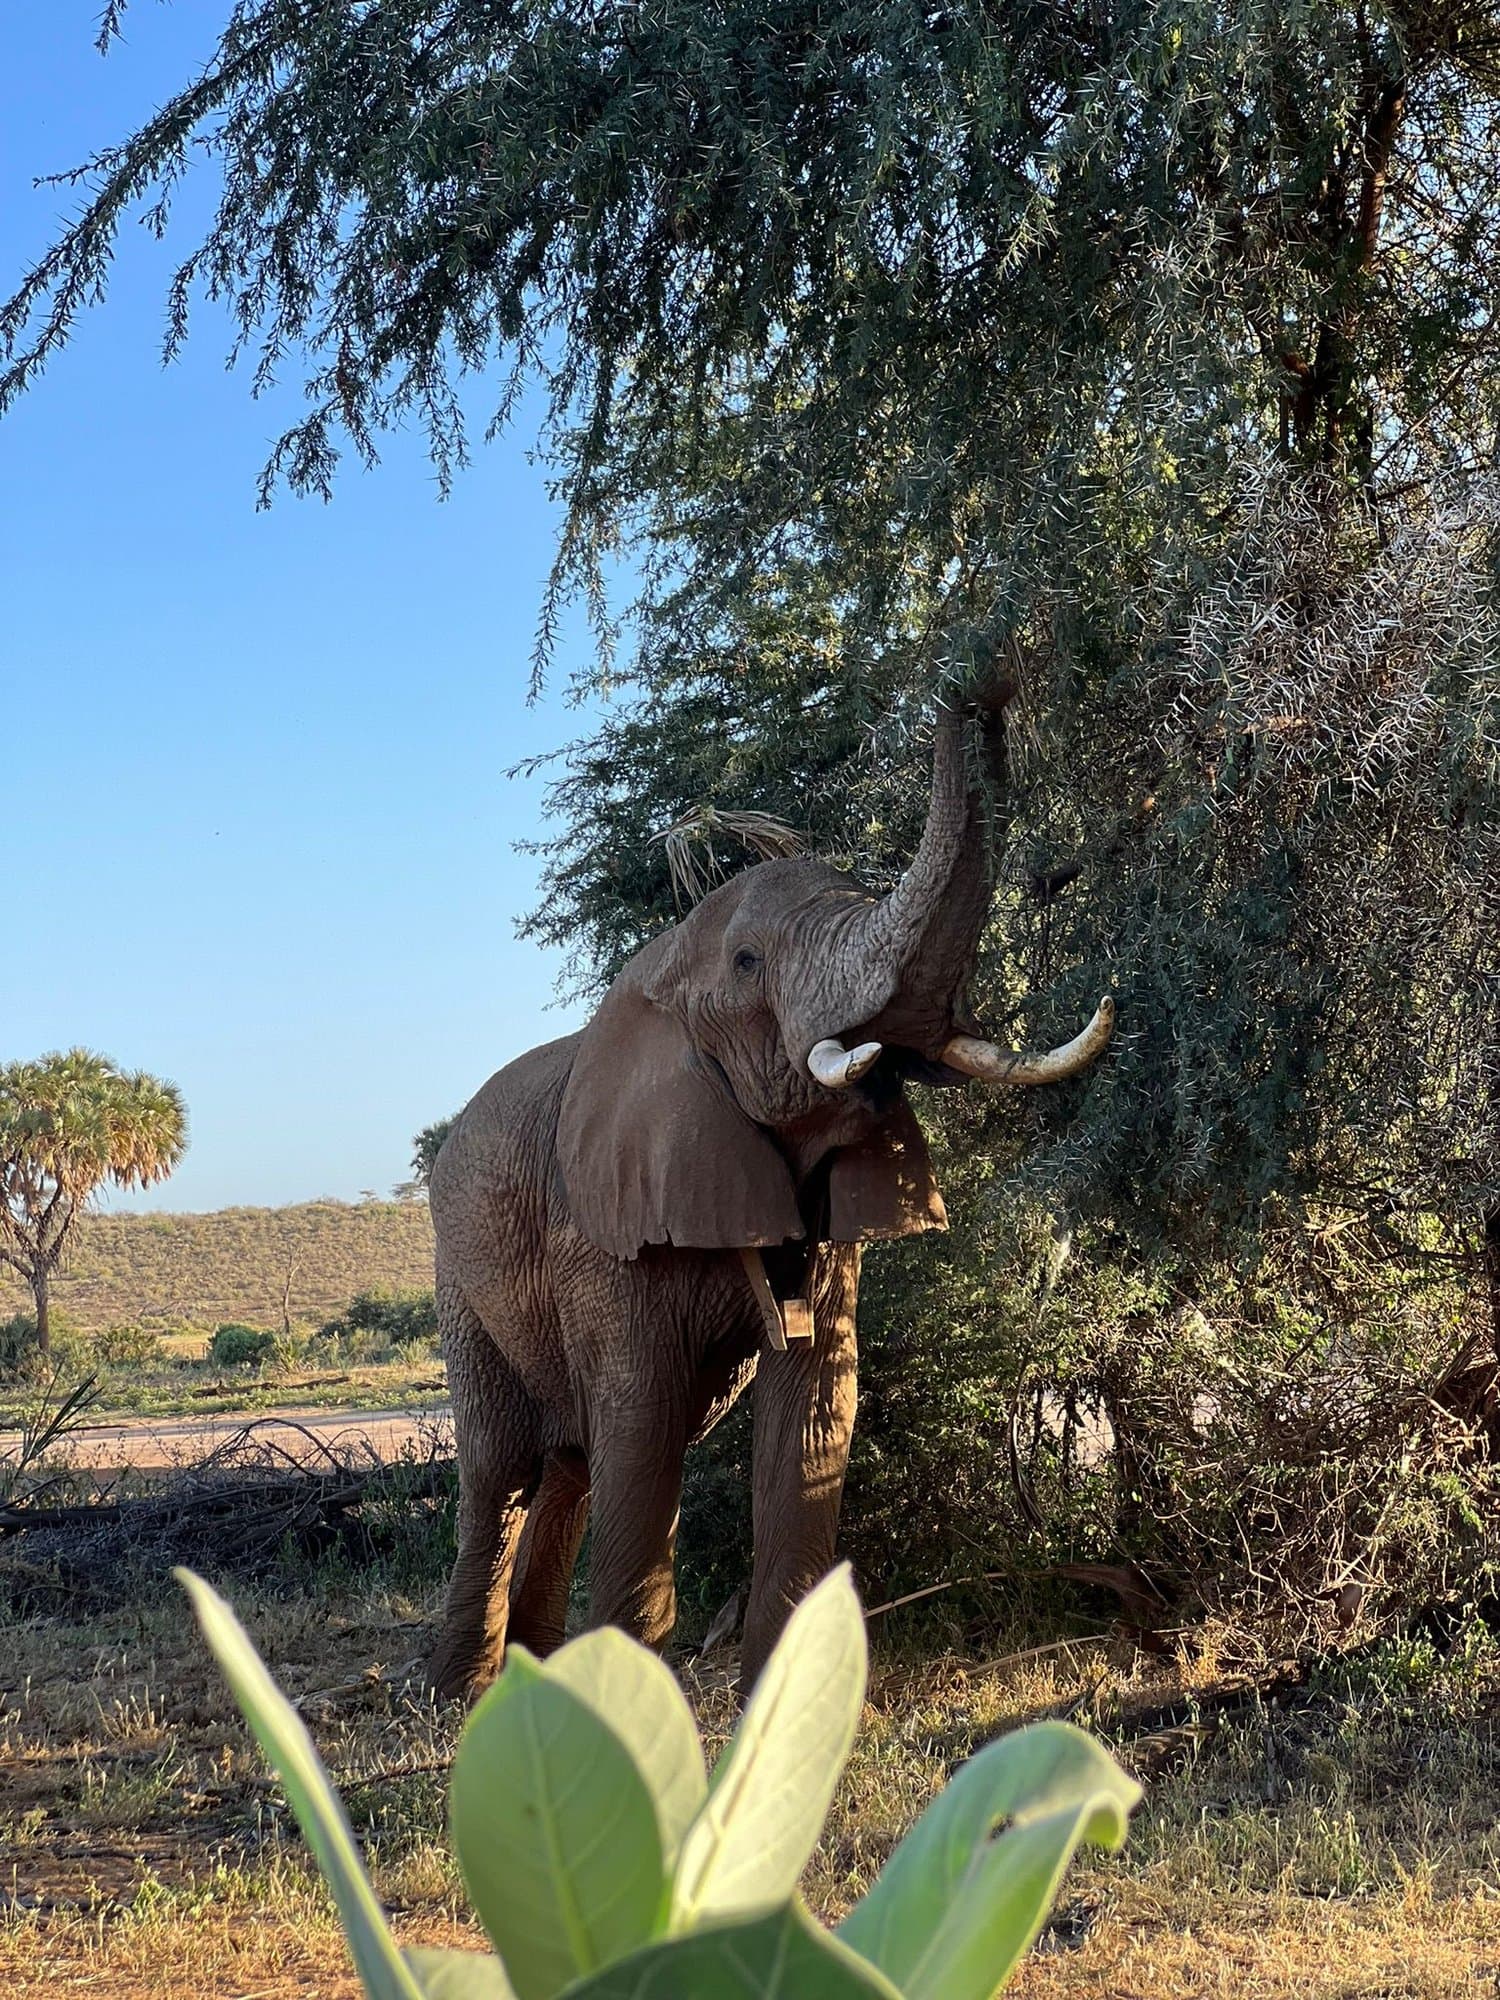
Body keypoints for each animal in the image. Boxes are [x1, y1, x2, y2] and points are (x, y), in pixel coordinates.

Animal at [426, 688, 1113, 1699]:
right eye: (750, 962)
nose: (976, 676)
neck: (663, 966)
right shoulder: (603, 1227)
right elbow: (644, 1421)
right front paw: (626, 1717)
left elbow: (816, 1408)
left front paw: (790, 1706)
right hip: (458, 1276)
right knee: (504, 1468)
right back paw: (459, 1695)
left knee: (570, 1463)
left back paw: (538, 1674)